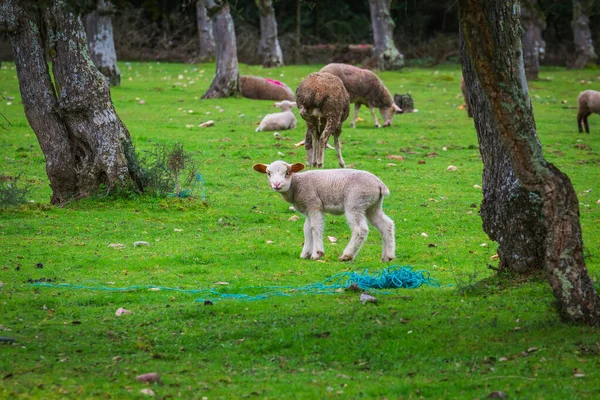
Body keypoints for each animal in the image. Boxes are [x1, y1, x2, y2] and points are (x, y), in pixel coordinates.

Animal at [252, 159, 396, 262]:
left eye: (287, 173)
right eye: (268, 173)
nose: (277, 185)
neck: (297, 184)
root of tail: (379, 184)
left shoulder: (314, 204)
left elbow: (315, 227)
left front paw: (317, 254)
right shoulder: (307, 209)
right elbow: (307, 229)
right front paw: (305, 253)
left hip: (355, 202)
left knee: (360, 230)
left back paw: (347, 255)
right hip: (372, 205)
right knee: (386, 225)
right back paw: (388, 256)